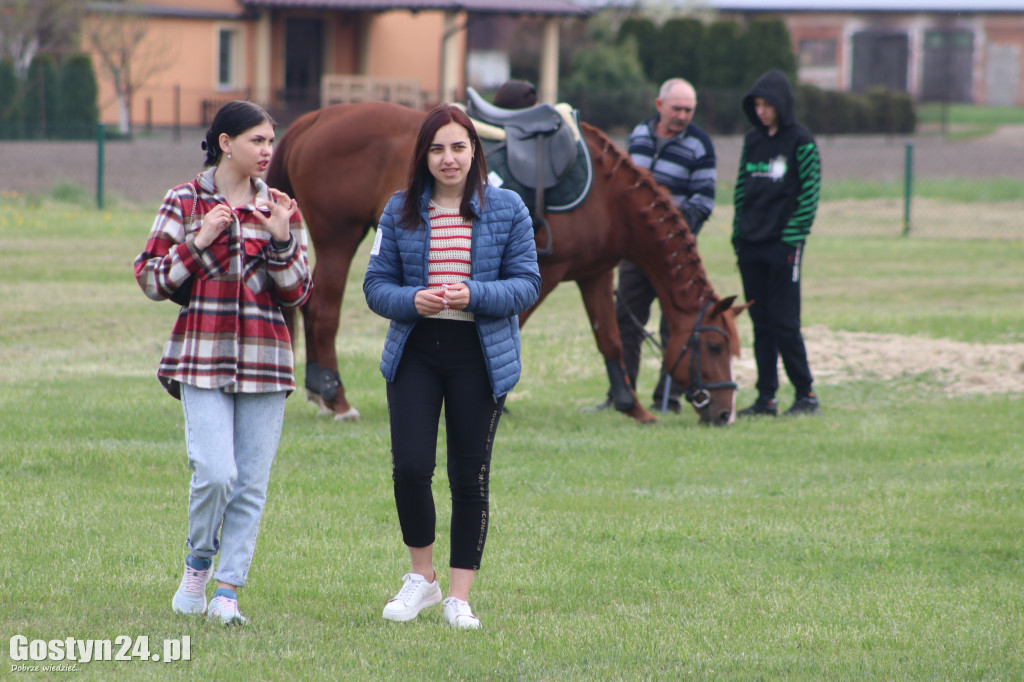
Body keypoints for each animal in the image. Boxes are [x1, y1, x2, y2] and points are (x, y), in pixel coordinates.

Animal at [264, 100, 749, 421]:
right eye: (714, 346)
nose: (725, 412)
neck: (610, 199)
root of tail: (317, 118)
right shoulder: (547, 272)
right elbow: (516, 322)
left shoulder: (593, 273)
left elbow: (608, 338)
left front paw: (632, 407)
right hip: (339, 237)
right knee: (323, 311)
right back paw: (336, 398)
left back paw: (321, 390)